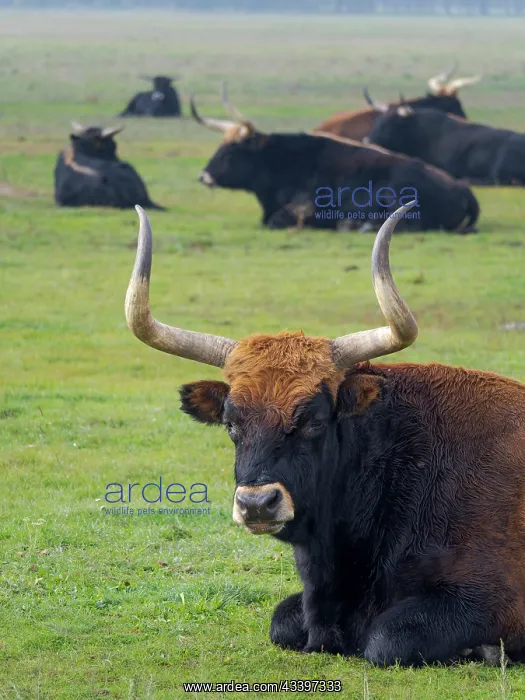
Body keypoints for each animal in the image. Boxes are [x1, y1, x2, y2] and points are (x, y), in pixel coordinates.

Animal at [124, 203, 525, 666]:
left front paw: (486, 650)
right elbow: (281, 620)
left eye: (314, 420)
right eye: (231, 423)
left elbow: (388, 638)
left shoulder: (486, 599)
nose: (256, 503)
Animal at [190, 93, 479, 233]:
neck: (282, 162)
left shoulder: (302, 209)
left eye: (229, 152)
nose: (203, 176)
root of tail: (462, 188)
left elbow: (276, 220)